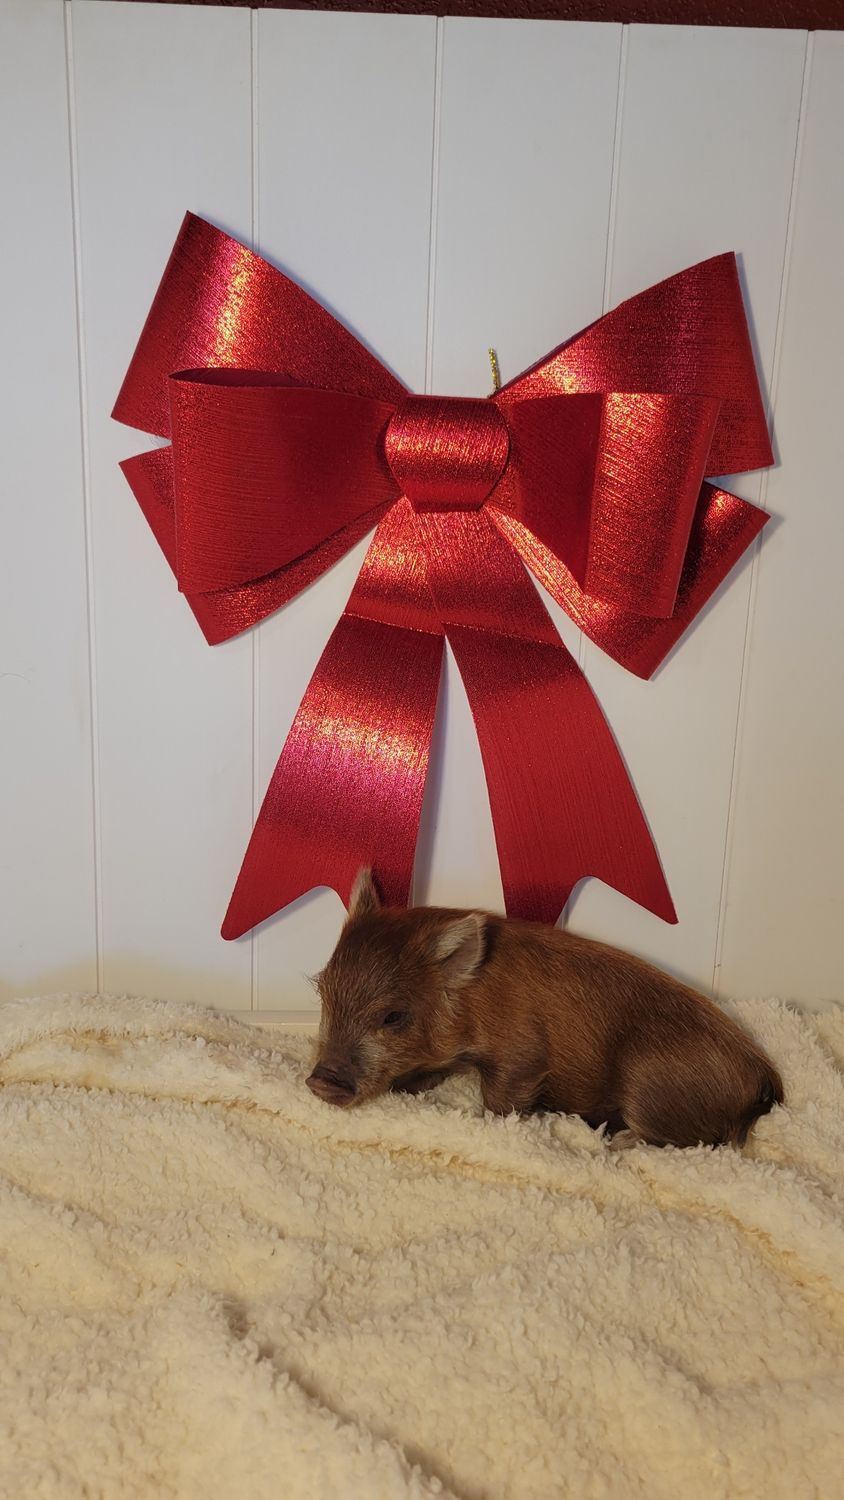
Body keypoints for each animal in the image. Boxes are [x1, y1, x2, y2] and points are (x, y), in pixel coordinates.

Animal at [306, 869, 783, 1149]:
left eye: (393, 1016)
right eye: (323, 992)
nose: (319, 1081)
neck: (472, 1000)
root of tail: (763, 1078)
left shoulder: (521, 1057)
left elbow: (502, 1099)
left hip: (649, 1084)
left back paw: (615, 1145)